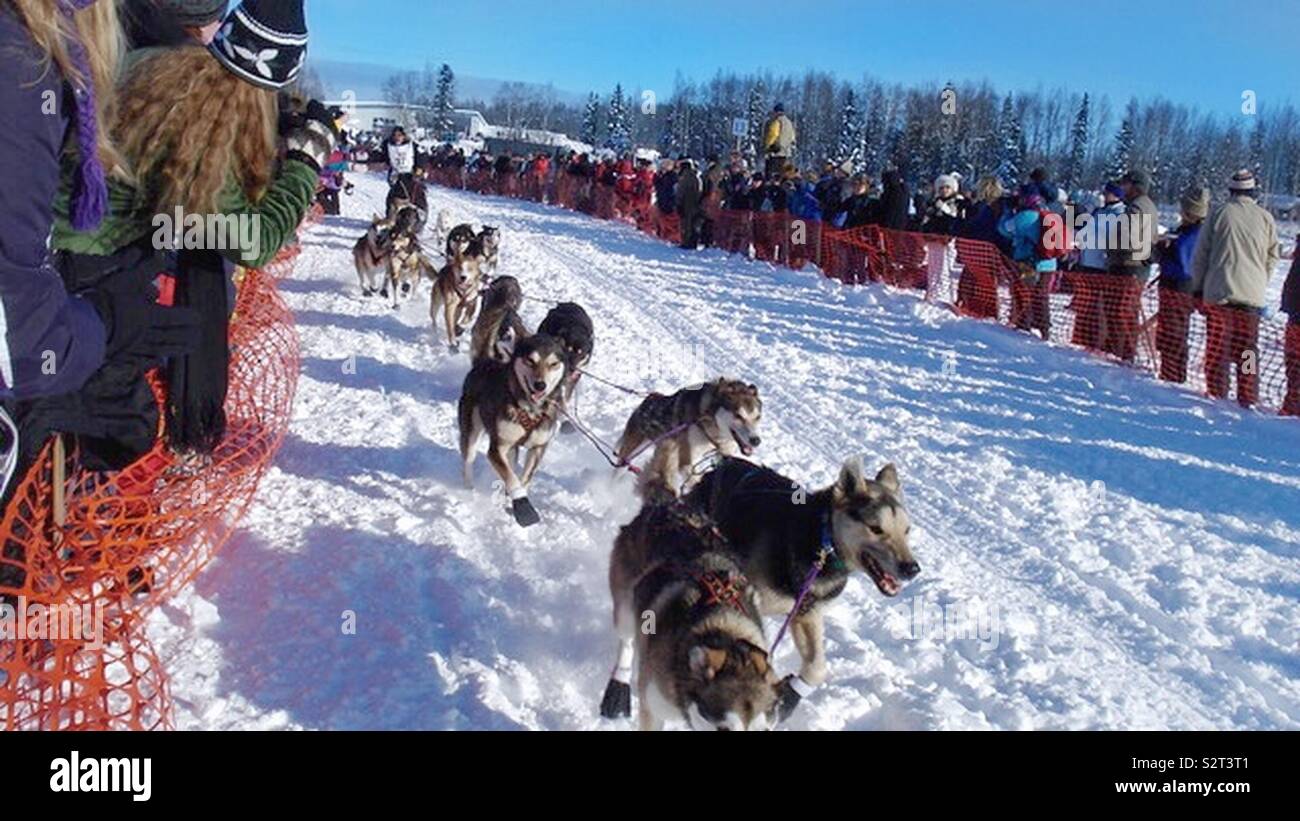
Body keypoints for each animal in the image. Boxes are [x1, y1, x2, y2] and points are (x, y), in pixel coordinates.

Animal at [616, 379, 759, 501]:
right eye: (738, 415)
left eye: (757, 417)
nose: (756, 440)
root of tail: (647, 400)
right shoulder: (686, 459)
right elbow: (696, 478)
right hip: (630, 453)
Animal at [686, 454, 920, 717]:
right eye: (876, 528)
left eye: (907, 530)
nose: (912, 568)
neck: (822, 544)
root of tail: (721, 464)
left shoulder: (805, 613)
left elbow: (817, 668)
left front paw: (791, 694)